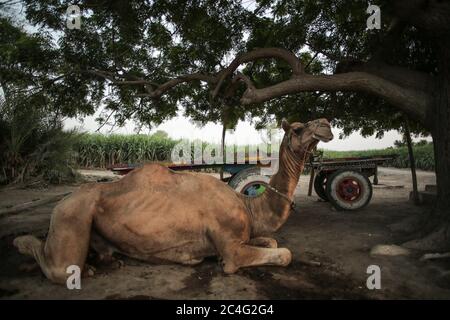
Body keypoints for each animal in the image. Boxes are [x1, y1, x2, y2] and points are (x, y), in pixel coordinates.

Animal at [14, 119, 332, 284]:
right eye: (297, 129)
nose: (326, 124)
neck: (249, 206)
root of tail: (62, 202)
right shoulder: (231, 247)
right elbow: (283, 253)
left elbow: (273, 241)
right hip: (72, 213)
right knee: (60, 266)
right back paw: (25, 245)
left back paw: (107, 261)